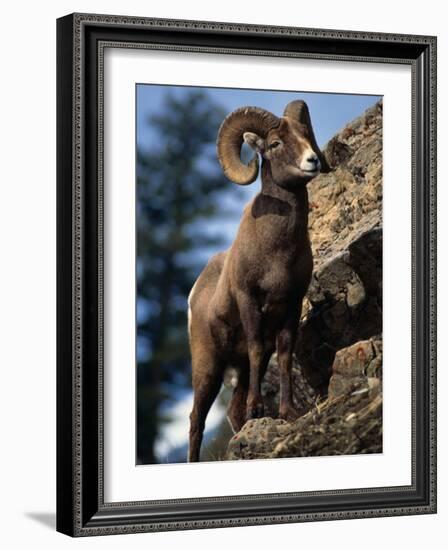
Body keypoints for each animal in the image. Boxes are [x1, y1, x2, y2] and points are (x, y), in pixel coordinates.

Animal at [186, 99, 328, 462]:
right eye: (275, 144)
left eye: (305, 135)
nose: (312, 161)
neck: (277, 251)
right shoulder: (250, 301)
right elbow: (254, 345)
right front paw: (258, 409)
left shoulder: (291, 304)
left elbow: (286, 351)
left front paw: (287, 412)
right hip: (208, 368)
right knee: (195, 420)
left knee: (231, 412)